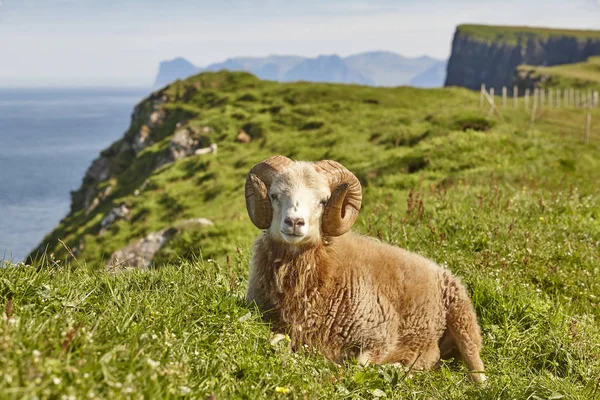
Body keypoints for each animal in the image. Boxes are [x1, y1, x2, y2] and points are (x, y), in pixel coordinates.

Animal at [246, 155, 486, 382]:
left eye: (323, 201)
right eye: (274, 195)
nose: (294, 222)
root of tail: (439, 267)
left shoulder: (380, 335)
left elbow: (359, 367)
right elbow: (276, 341)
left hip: (463, 322)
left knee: (470, 367)